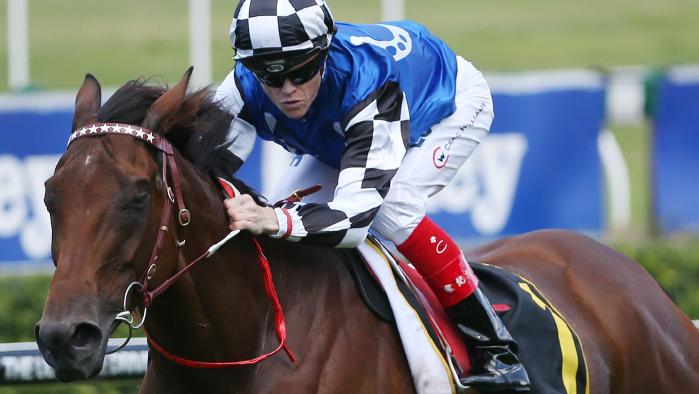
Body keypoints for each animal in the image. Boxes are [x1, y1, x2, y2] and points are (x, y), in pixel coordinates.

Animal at [35, 71, 699, 394]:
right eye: (49, 196)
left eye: (136, 196)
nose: (65, 339)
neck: (242, 346)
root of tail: (634, 278)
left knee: (398, 211)